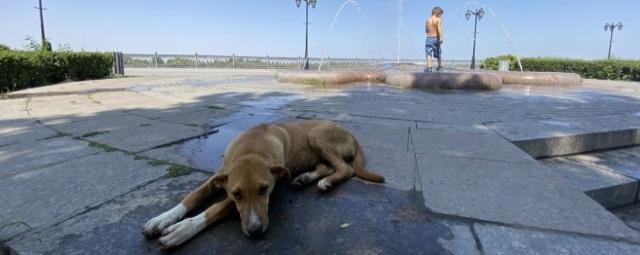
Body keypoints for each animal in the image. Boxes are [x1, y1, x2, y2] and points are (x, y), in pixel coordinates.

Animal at [142, 120, 382, 248]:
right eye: (237, 194)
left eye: (264, 189)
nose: (256, 231)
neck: (252, 148)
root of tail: (349, 132)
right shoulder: (220, 176)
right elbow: (193, 195)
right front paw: (164, 218)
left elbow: (216, 208)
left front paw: (183, 229)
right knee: (328, 167)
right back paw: (304, 179)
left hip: (316, 135)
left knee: (346, 169)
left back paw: (325, 183)